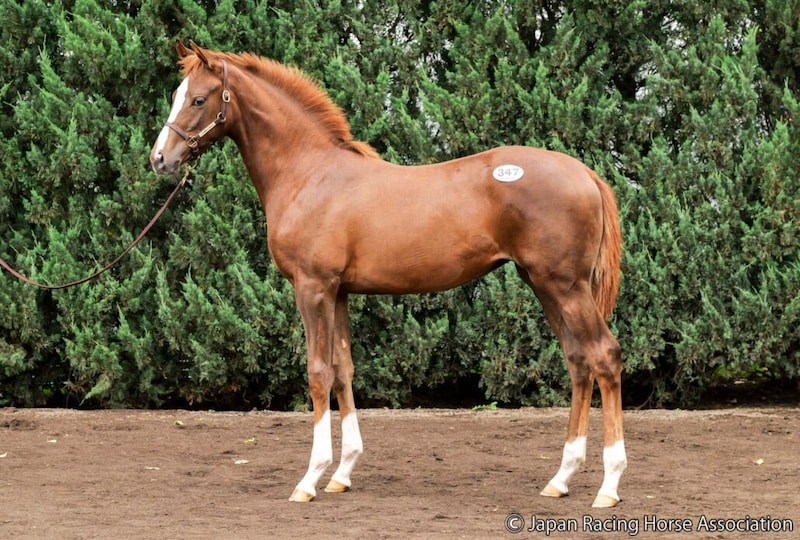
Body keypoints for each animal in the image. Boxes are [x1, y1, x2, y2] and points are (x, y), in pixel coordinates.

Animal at [150, 41, 626, 508]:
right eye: (177, 94)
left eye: (198, 99)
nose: (160, 159)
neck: (310, 174)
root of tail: (585, 173)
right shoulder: (339, 292)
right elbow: (343, 369)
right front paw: (341, 474)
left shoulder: (313, 288)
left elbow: (318, 372)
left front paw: (310, 478)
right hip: (543, 284)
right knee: (578, 361)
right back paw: (561, 478)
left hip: (564, 286)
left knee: (605, 356)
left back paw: (608, 486)